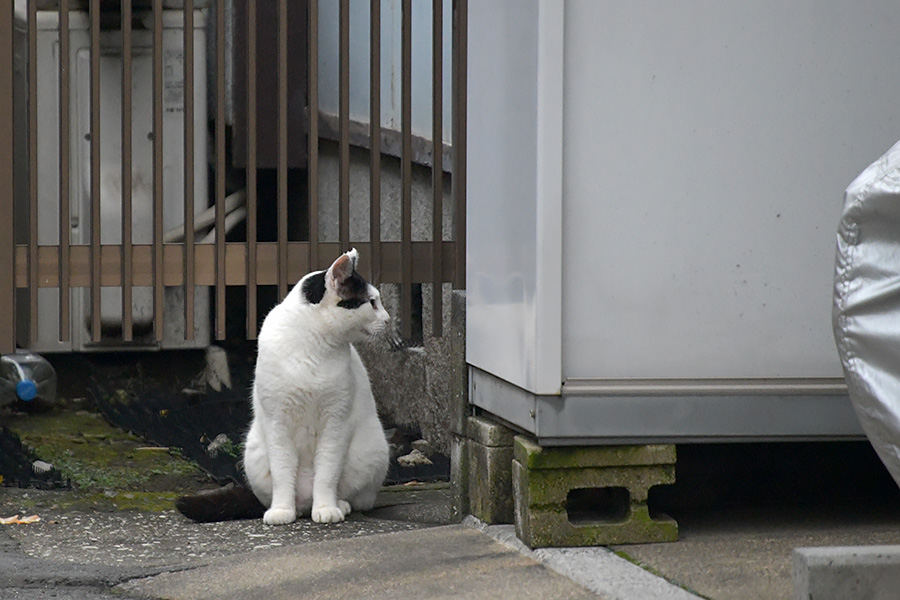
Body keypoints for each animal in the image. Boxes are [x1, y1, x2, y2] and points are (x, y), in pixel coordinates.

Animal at [243, 248, 390, 524]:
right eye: (372, 302)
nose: (388, 319)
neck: (314, 344)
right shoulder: (277, 423)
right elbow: (282, 473)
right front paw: (281, 510)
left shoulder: (336, 422)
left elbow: (327, 473)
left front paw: (325, 508)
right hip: (254, 452)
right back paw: (295, 508)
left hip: (370, 451)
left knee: (354, 496)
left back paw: (338, 504)